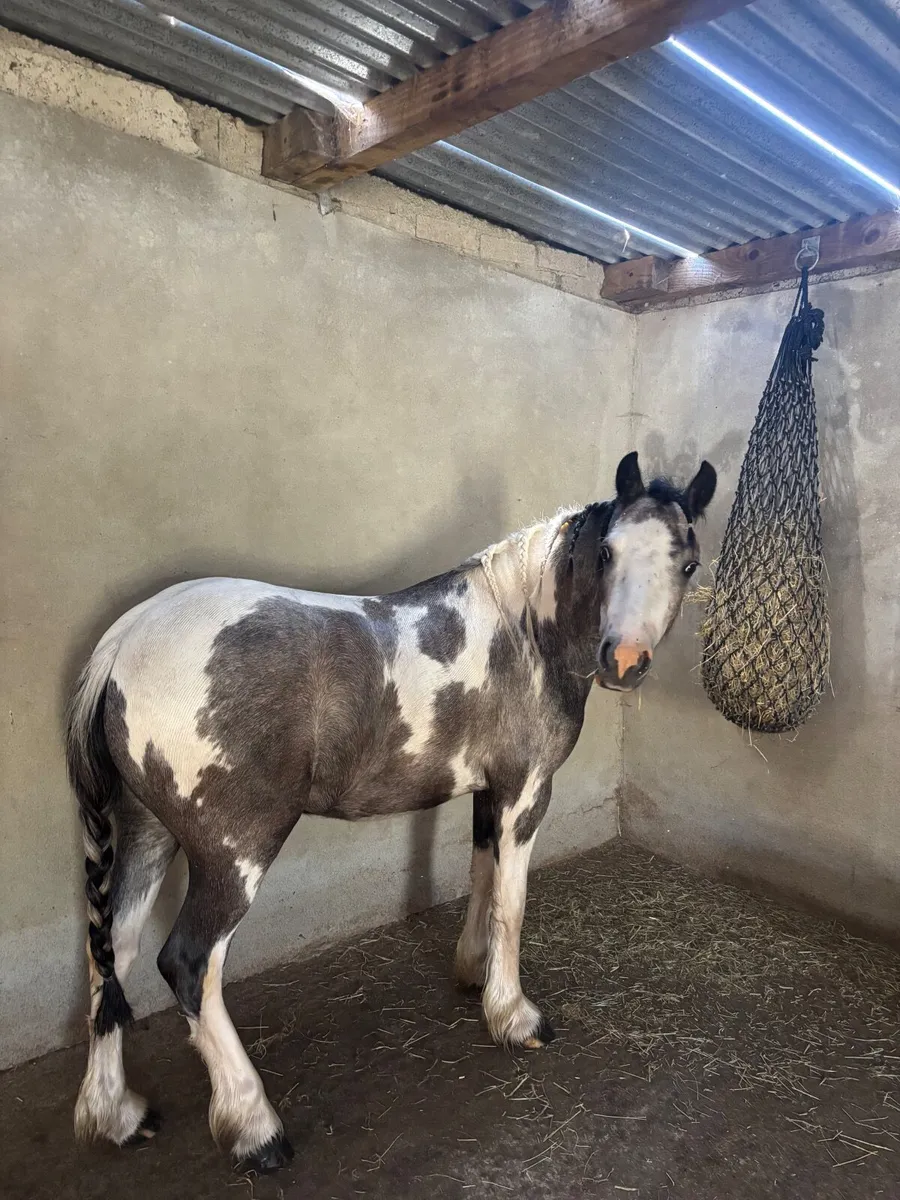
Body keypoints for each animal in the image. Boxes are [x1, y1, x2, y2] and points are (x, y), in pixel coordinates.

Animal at [68, 450, 716, 1171]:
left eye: (687, 562)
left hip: (148, 835)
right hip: (234, 854)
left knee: (110, 950)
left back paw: (114, 1115)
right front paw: (515, 1017)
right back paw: (254, 1126)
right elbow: (512, 903)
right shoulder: (525, 791)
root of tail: (126, 641)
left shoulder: (489, 792)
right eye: (607, 552)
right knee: (187, 963)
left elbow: (482, 877)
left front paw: (473, 972)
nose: (624, 660)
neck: (525, 629)